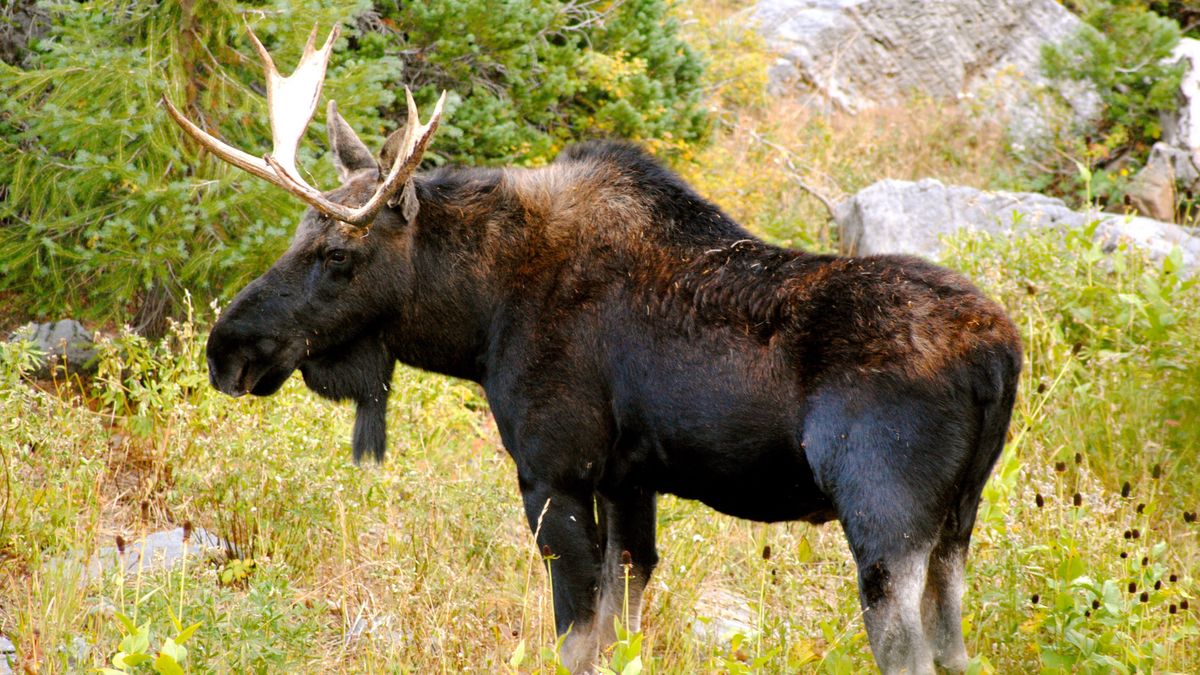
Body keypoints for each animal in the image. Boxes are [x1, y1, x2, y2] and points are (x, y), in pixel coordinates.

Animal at [162, 23, 1022, 667]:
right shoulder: (629, 478)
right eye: (297, 234)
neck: (478, 319)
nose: (226, 348)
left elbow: (576, 640)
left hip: (883, 515)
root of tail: (1001, 356)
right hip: (955, 525)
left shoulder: (555, 470)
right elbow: (625, 627)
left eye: (338, 255)